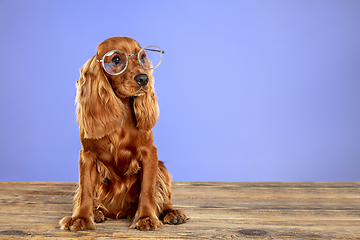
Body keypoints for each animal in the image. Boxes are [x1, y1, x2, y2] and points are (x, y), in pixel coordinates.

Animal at [59, 36, 188, 231]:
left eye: (142, 57)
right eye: (116, 59)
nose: (144, 78)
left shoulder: (149, 153)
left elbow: (148, 190)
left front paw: (145, 217)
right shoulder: (87, 155)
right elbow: (85, 191)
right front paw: (80, 218)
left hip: (162, 167)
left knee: (163, 196)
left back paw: (172, 213)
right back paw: (97, 212)